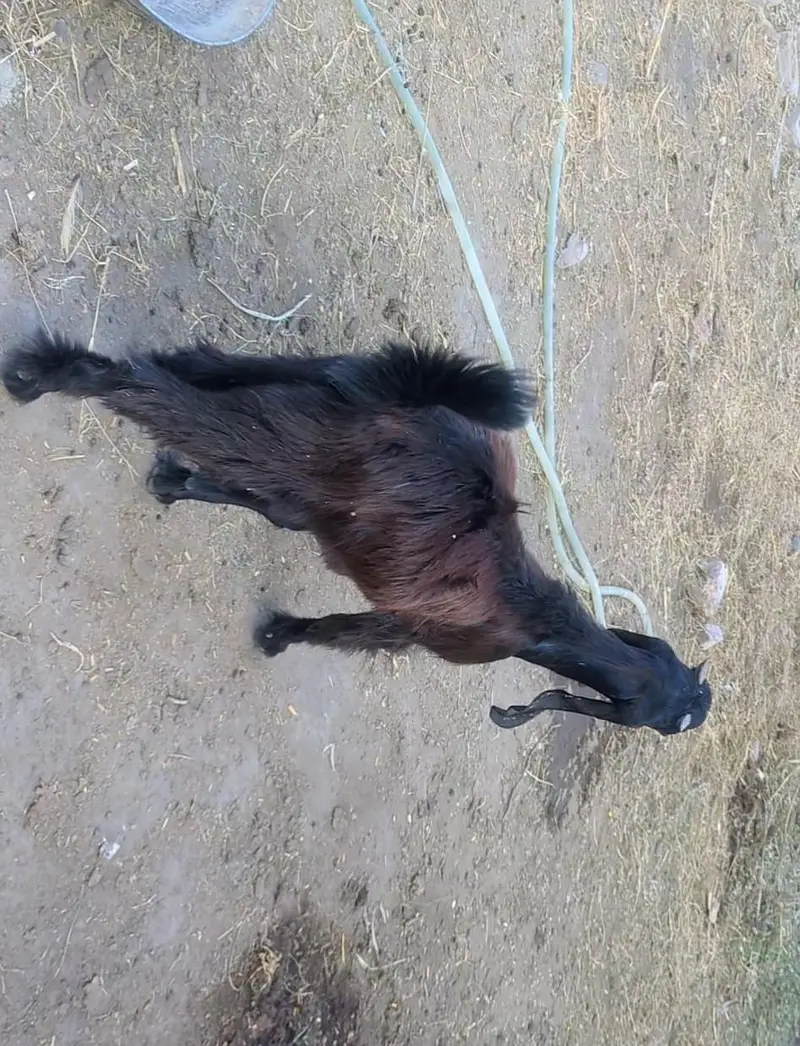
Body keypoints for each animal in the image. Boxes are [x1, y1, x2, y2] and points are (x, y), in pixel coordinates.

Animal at [2, 328, 712, 735]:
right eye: (669, 721)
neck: (538, 623)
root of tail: (421, 401)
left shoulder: (329, 516)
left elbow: (277, 513)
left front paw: (176, 483)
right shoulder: (403, 627)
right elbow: (340, 630)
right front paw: (278, 636)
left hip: (323, 395)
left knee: (214, 369)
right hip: (316, 445)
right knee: (168, 403)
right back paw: (45, 374)